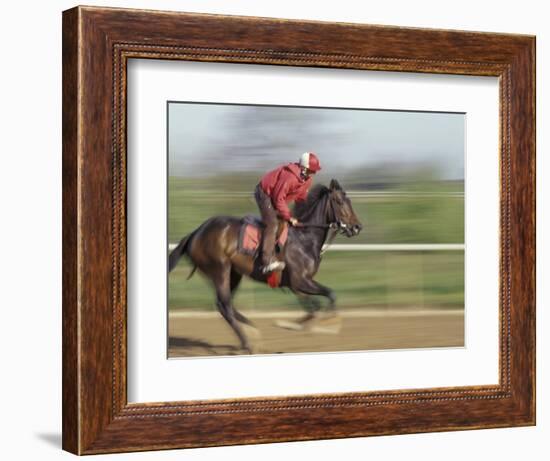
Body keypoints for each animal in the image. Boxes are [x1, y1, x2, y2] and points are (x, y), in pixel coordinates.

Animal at [170, 179, 364, 352]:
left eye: (349, 201)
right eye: (340, 201)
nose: (357, 227)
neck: (304, 238)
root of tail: (196, 232)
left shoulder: (297, 284)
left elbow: (315, 306)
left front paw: (299, 324)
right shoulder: (300, 281)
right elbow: (326, 297)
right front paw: (329, 324)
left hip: (235, 274)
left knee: (225, 305)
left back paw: (252, 332)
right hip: (220, 269)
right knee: (225, 305)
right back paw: (248, 342)